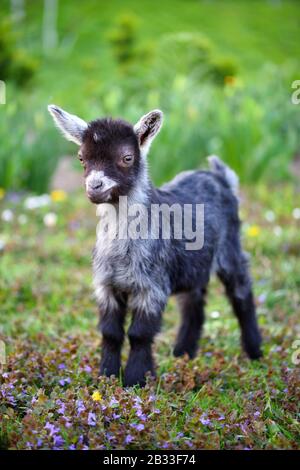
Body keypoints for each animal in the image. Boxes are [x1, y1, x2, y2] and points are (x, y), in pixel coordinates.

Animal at [48, 105, 262, 386]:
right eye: (82, 158)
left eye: (127, 157)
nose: (94, 187)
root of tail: (219, 175)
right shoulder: (106, 285)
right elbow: (110, 332)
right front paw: (107, 376)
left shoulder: (151, 286)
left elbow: (139, 334)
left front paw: (136, 379)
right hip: (191, 266)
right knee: (193, 304)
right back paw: (182, 354)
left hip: (230, 247)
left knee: (241, 293)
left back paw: (255, 352)